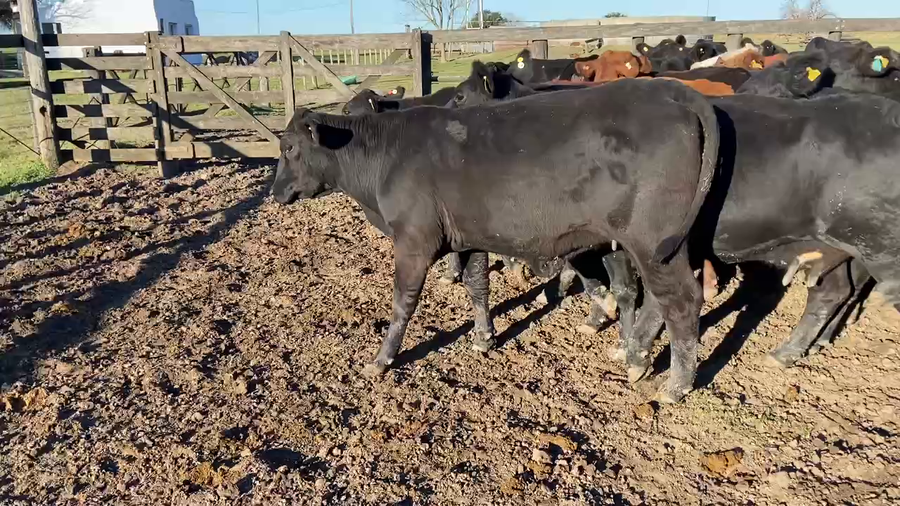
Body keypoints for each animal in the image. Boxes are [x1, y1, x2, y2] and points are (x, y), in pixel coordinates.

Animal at [273, 79, 720, 403]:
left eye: (290, 147)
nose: (275, 193)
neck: (386, 156)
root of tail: (670, 91)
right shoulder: (468, 237)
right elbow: (477, 286)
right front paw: (484, 338)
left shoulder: (414, 241)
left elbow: (403, 302)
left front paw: (382, 359)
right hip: (632, 243)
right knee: (645, 295)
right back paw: (632, 353)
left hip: (655, 244)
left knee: (681, 301)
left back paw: (674, 384)